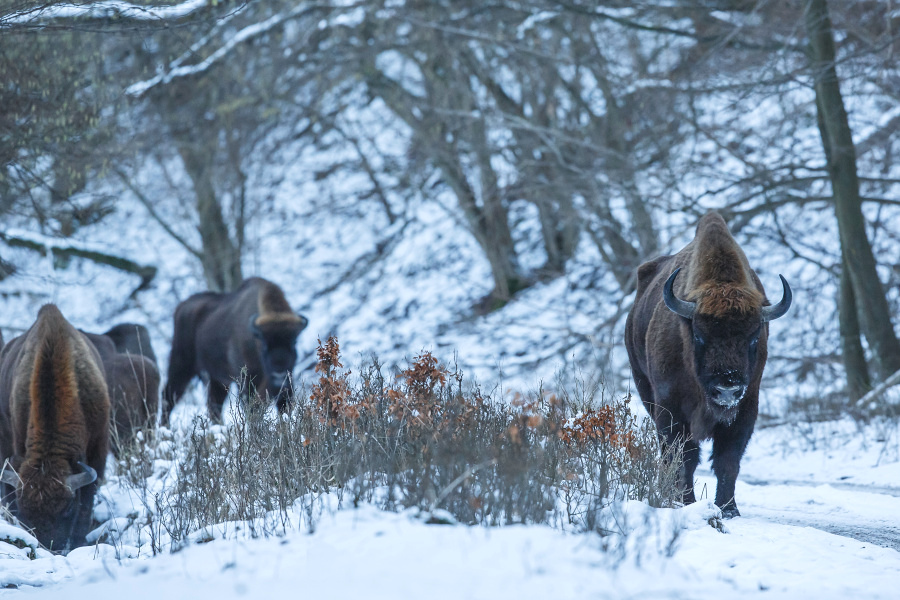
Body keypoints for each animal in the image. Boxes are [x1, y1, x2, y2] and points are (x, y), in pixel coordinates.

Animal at [164, 276, 310, 422]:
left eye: (294, 342)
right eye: (264, 344)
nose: (279, 371)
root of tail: (182, 306)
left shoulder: (286, 386)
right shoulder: (247, 382)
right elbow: (252, 409)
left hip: (217, 379)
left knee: (214, 405)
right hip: (181, 366)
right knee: (169, 397)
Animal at [624, 213, 792, 516]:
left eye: (753, 338)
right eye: (699, 335)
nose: (727, 388)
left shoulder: (746, 408)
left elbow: (727, 461)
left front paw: (729, 509)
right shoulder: (671, 409)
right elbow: (683, 458)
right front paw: (684, 502)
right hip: (644, 388)